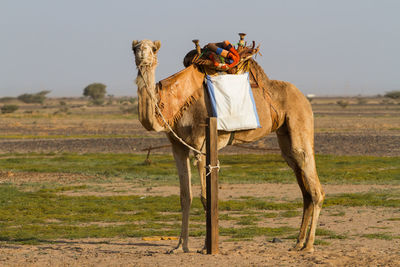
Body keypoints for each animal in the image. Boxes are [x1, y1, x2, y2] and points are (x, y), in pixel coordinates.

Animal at [131, 39, 324, 253]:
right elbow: (185, 196)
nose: (142, 54)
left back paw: (309, 245)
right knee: (303, 186)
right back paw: (298, 243)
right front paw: (180, 246)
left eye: (153, 49)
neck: (178, 103)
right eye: (135, 48)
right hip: (285, 136)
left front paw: (205, 248)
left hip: (300, 119)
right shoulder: (177, 147)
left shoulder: (201, 146)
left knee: (313, 184)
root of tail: (304, 97)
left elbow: (206, 197)